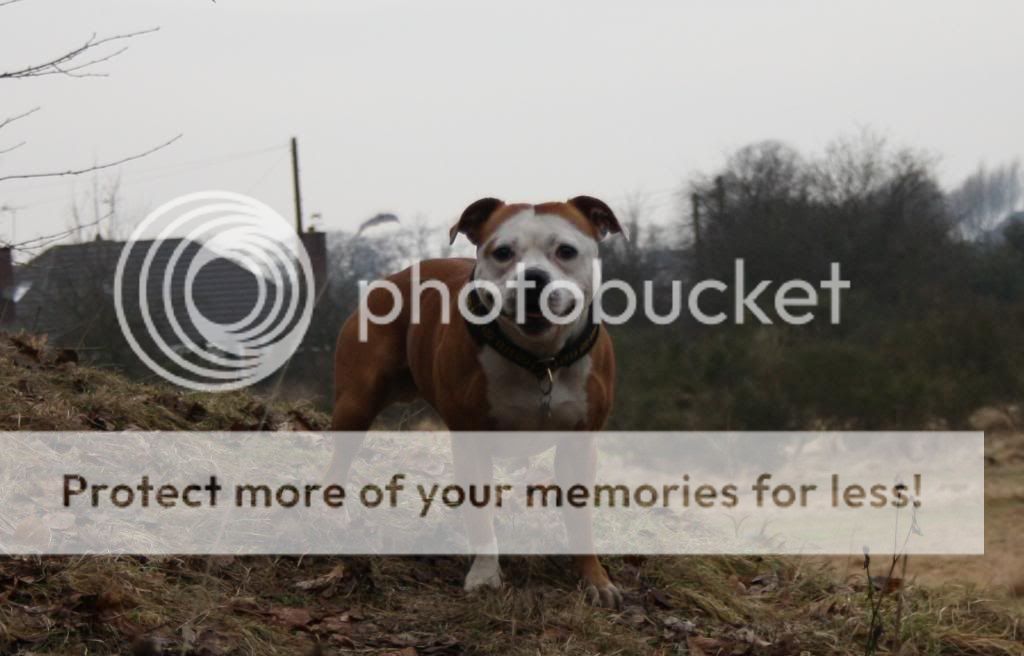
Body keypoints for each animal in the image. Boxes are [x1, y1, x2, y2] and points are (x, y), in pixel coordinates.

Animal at [327, 195, 622, 609]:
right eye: (503, 252)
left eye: (566, 251)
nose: (533, 278)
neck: (539, 360)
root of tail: (394, 278)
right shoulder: (472, 441)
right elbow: (481, 516)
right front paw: (484, 576)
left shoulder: (579, 446)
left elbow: (580, 521)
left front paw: (594, 579)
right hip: (356, 403)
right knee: (339, 461)